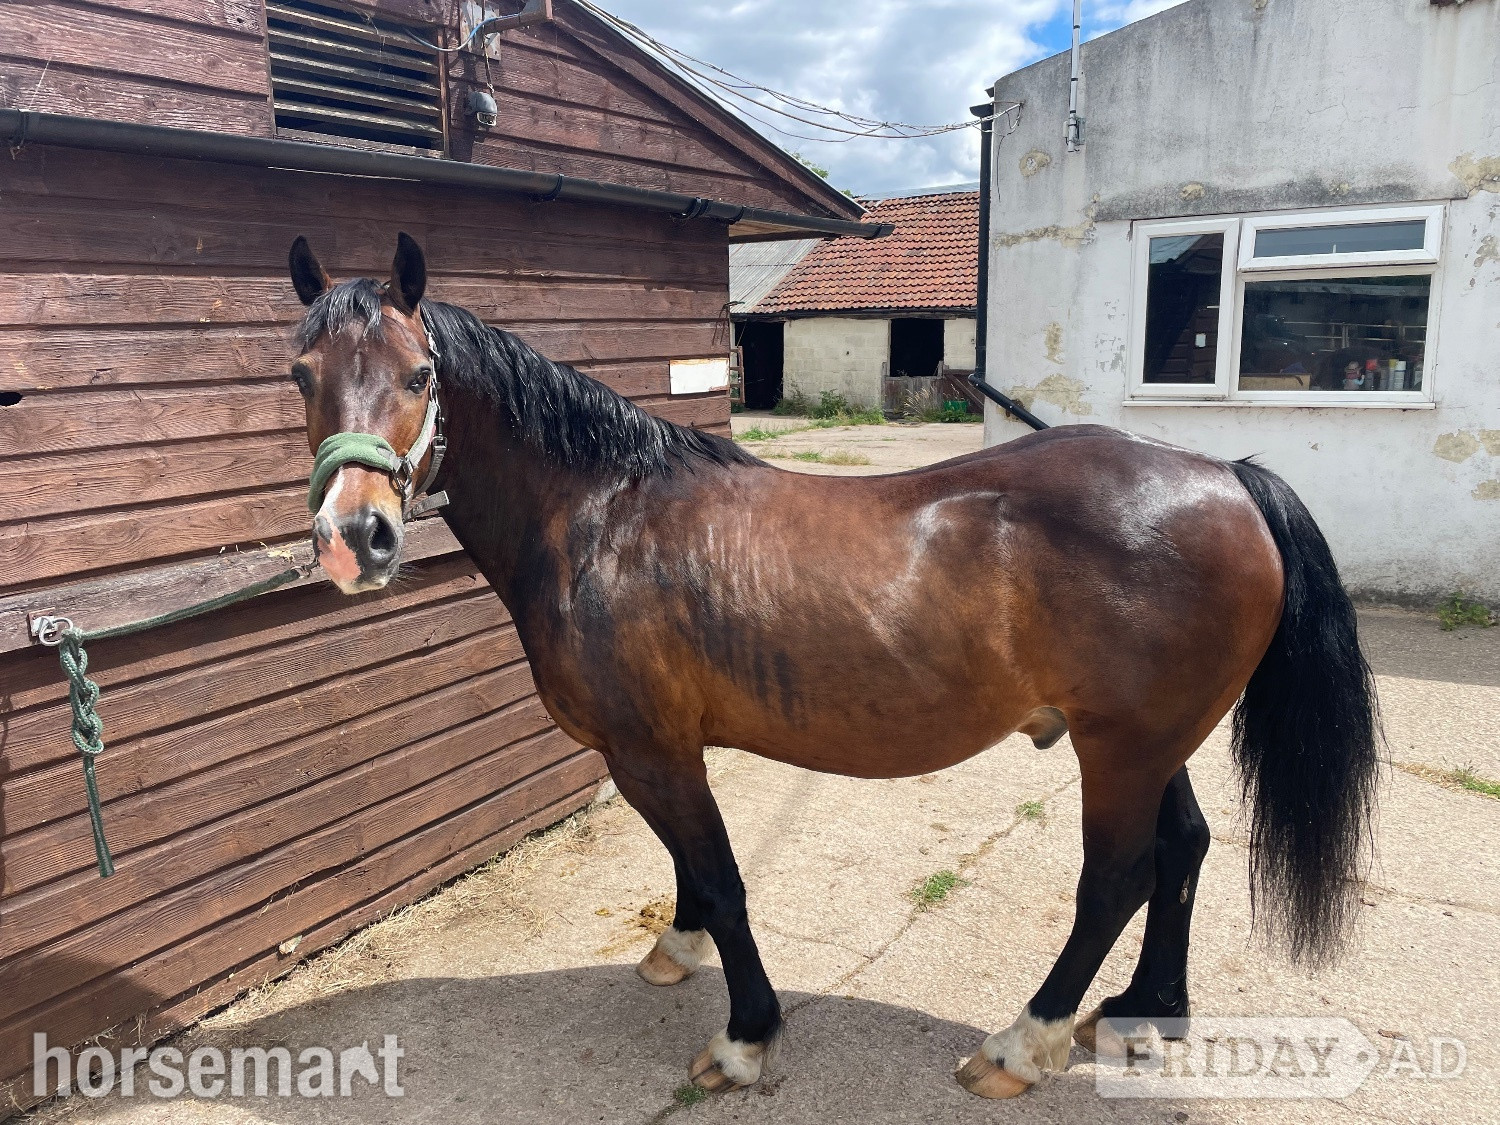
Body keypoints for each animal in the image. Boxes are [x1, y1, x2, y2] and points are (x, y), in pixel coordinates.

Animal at [284, 233, 1379, 1099]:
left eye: (420, 375)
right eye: (300, 374)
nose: (354, 539)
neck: (601, 517)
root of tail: (1225, 477)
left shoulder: (649, 749)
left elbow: (722, 878)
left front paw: (744, 1038)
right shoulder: (655, 752)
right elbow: (688, 867)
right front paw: (677, 946)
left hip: (1122, 749)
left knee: (1117, 878)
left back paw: (1022, 1045)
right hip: (1152, 743)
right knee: (1185, 847)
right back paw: (1147, 1009)